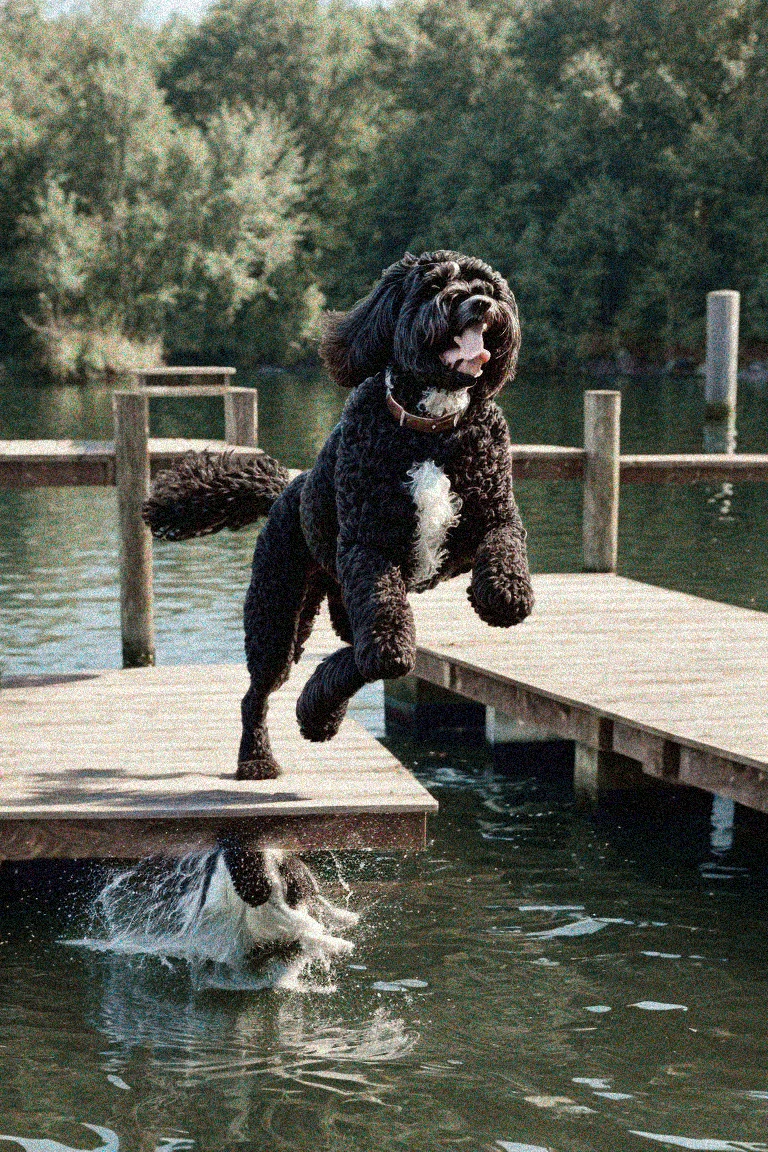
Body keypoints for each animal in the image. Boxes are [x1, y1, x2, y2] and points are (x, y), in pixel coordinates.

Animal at [143, 247, 531, 778]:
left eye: (488, 287)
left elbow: (504, 549)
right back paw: (260, 758)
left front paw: (503, 596)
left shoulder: (491, 519)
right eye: (433, 286)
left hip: (333, 602)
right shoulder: (368, 549)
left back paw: (319, 709)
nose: (479, 304)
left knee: (355, 651)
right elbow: (387, 647)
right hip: (277, 613)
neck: (432, 428)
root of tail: (288, 488)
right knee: (262, 693)